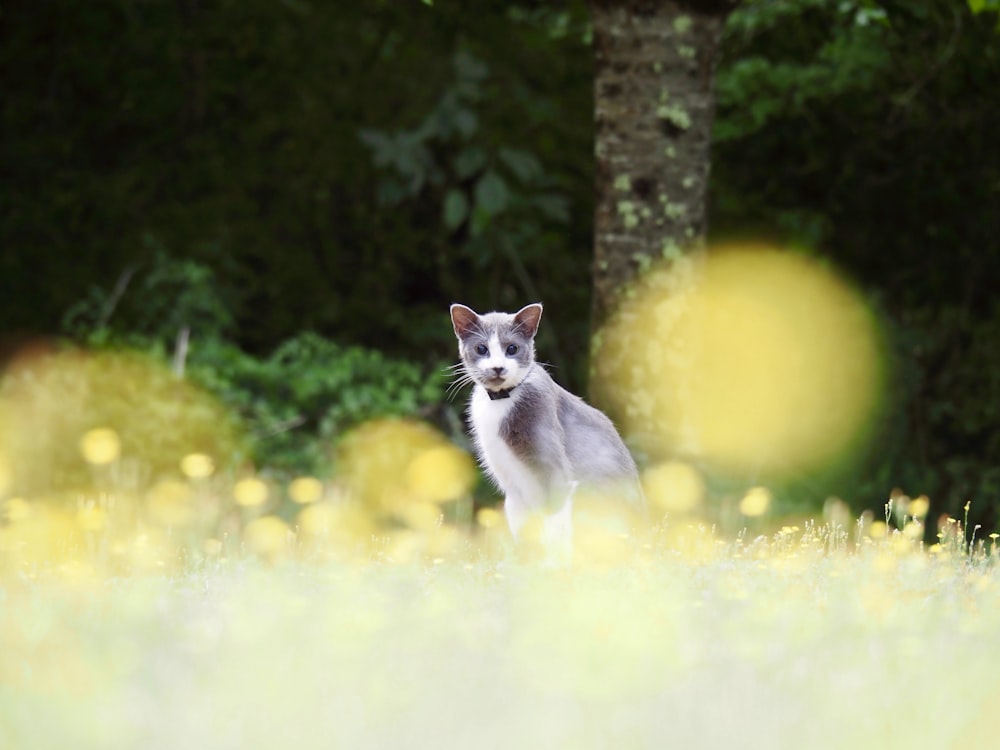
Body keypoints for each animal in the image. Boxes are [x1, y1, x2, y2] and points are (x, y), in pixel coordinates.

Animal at [450, 304, 644, 548]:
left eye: (512, 348)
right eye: (481, 349)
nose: (497, 368)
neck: (501, 401)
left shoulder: (553, 467)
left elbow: (555, 521)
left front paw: (553, 559)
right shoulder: (512, 489)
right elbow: (524, 530)